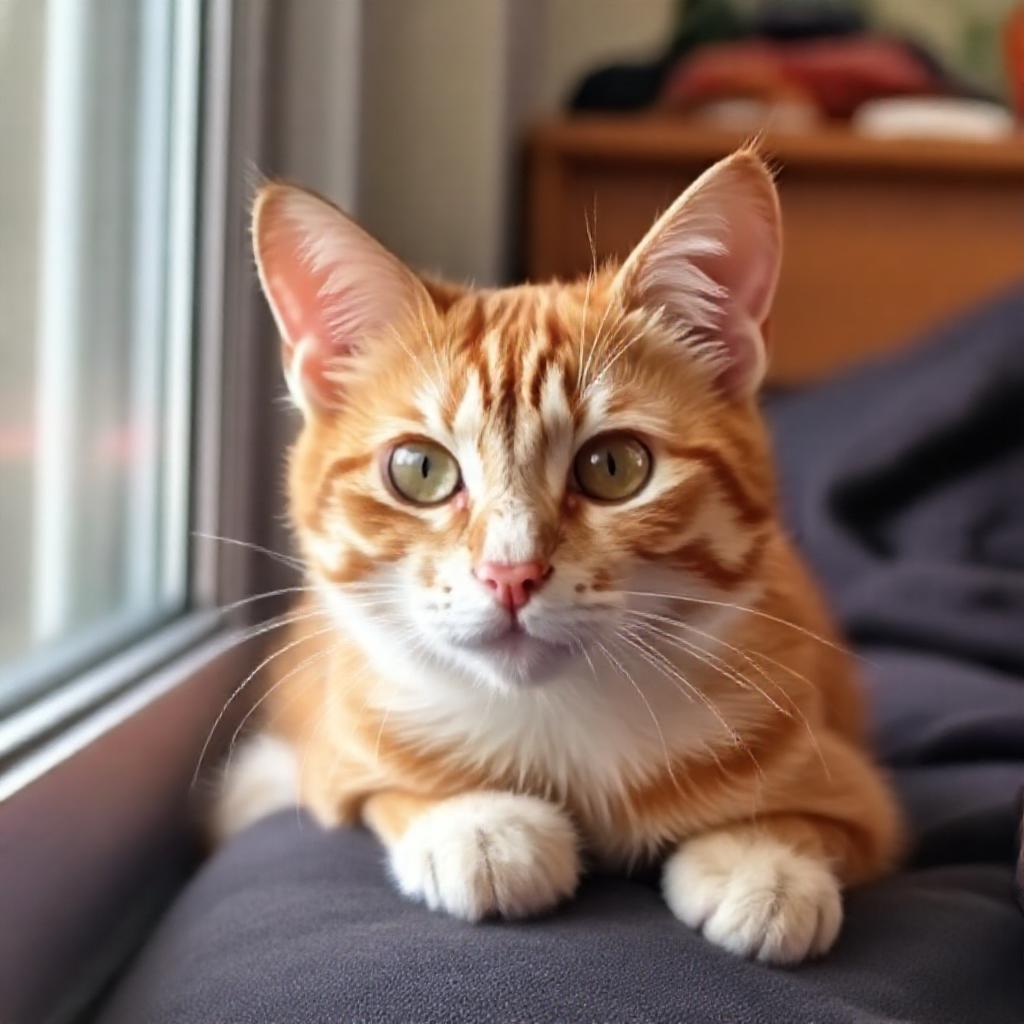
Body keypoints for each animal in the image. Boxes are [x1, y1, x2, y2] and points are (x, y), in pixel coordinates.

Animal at [216, 147, 903, 965]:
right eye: (420, 470)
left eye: (614, 467)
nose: (510, 573)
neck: (555, 723)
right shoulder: (336, 746)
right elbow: (375, 790)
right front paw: (477, 825)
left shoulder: (862, 791)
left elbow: (823, 820)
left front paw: (764, 864)